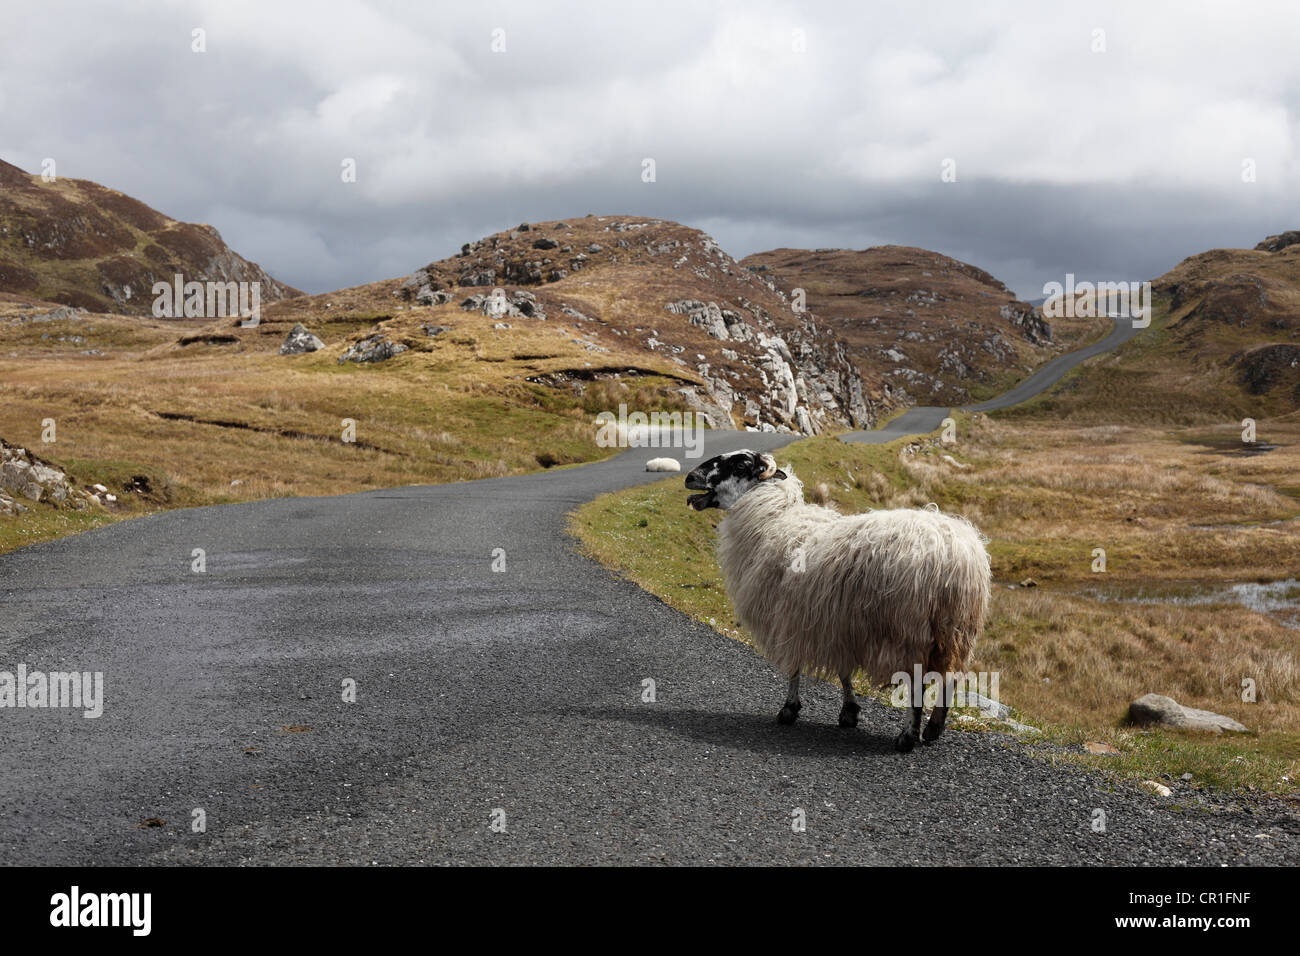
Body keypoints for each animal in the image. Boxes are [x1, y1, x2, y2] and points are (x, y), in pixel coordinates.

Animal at [686, 447, 987, 754]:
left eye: (739, 465)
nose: (690, 477)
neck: (773, 520)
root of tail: (953, 553)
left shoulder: (792, 615)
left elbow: (794, 666)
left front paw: (789, 709)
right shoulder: (836, 621)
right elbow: (844, 670)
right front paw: (849, 712)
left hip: (908, 630)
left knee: (917, 684)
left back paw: (907, 736)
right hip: (954, 632)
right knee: (951, 678)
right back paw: (934, 728)